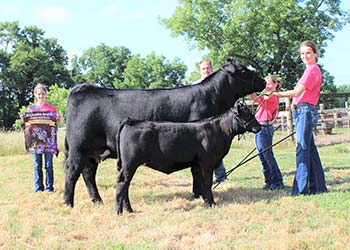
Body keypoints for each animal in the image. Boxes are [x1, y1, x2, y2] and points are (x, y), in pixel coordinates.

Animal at [116, 101, 262, 213]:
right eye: (247, 114)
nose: (259, 127)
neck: (218, 130)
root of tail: (131, 121)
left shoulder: (197, 164)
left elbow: (200, 183)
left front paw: (205, 201)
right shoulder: (207, 162)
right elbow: (207, 183)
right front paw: (211, 203)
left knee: (126, 185)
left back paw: (128, 209)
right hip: (130, 164)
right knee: (122, 183)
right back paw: (120, 210)